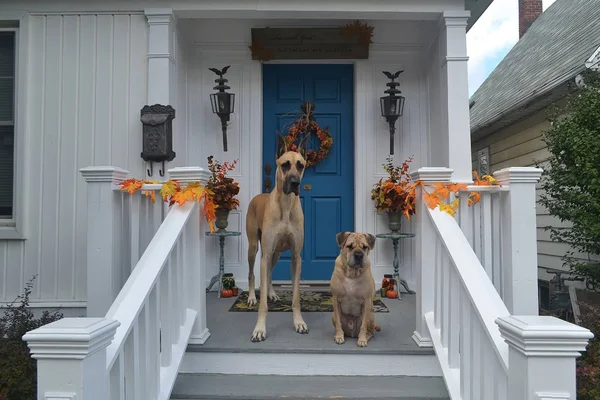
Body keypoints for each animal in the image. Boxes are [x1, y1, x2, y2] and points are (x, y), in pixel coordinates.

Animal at [245, 133, 310, 342]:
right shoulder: (265, 254)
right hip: (254, 248)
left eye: (301, 165)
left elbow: (296, 296)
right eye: (285, 165)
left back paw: (272, 293)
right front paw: (259, 329)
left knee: (270, 273)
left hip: (276, 253)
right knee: (252, 274)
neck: (286, 205)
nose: (295, 183)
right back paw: (251, 297)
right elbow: (263, 305)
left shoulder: (296, 257)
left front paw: (299, 322)